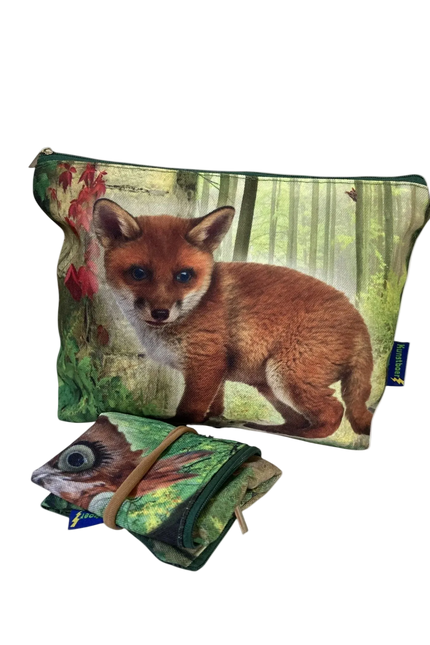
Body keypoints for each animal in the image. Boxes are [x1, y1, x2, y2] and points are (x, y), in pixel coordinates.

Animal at [93, 198, 374, 439]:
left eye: (183, 276)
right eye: (139, 273)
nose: (160, 313)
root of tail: (359, 320)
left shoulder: (207, 363)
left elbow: (188, 410)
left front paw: (177, 426)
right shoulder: (216, 371)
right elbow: (214, 407)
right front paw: (212, 421)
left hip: (286, 376)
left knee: (334, 412)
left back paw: (303, 435)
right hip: (269, 385)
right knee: (299, 418)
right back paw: (272, 428)